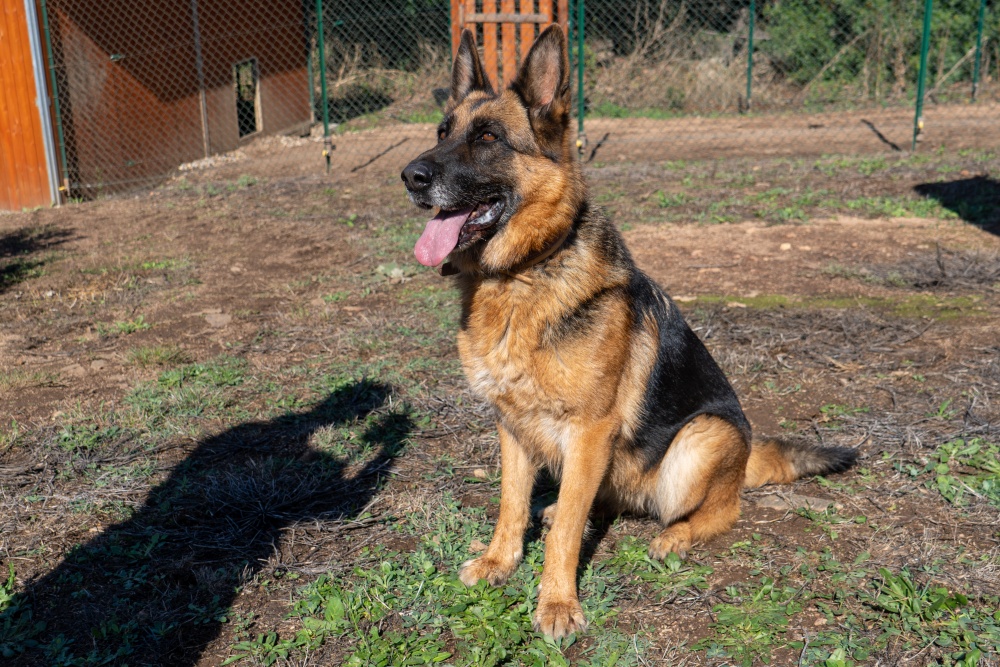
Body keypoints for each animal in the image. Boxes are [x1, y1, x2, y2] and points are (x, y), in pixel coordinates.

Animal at [401, 25, 856, 639]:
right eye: (442, 133)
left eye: (489, 138)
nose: (410, 177)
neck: (526, 272)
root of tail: (747, 454)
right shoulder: (513, 426)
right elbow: (511, 504)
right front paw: (501, 561)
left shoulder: (590, 429)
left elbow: (568, 532)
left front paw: (557, 603)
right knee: (599, 500)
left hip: (700, 439)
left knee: (720, 510)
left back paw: (675, 536)